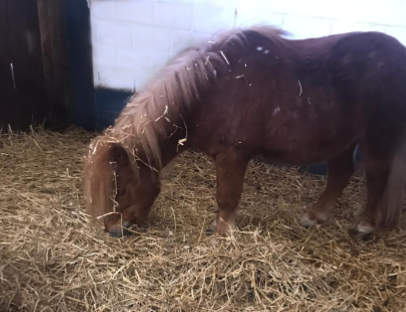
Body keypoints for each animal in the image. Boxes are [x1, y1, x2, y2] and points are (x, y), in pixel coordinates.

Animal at [82, 26, 406, 238]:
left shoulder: (233, 155)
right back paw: (315, 216)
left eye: (122, 187)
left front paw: (222, 231)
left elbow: (227, 197)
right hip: (341, 138)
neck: (212, 90)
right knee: (340, 173)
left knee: (376, 176)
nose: (113, 229)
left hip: (376, 137)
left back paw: (364, 225)